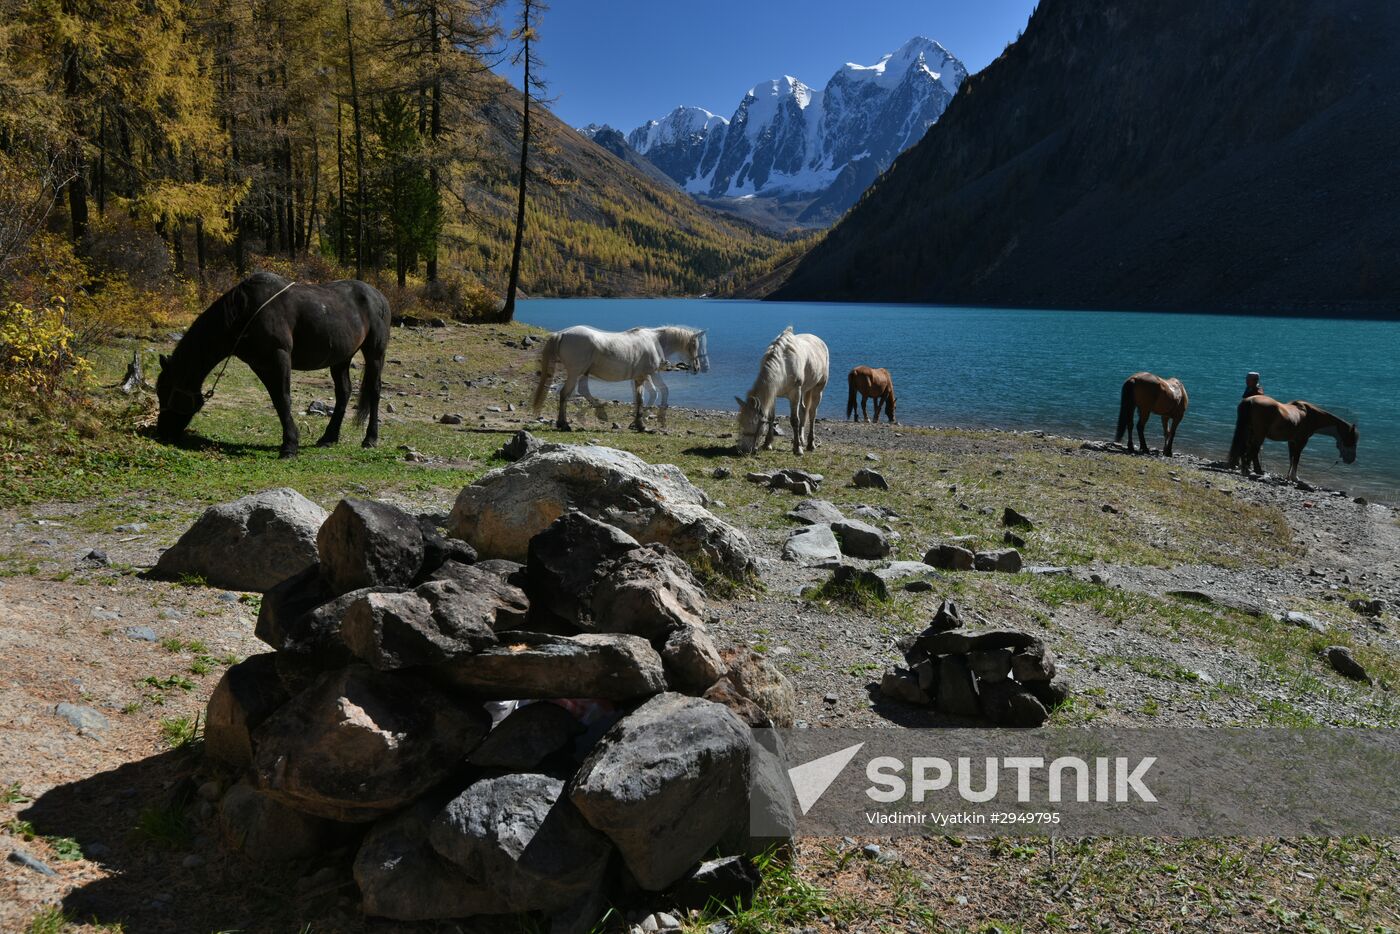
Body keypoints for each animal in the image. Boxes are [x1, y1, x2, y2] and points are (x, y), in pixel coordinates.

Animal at [156, 271, 392, 459]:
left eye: (166, 393)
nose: (161, 433)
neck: (245, 312)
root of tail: (380, 296)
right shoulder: (261, 365)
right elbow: (277, 401)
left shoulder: (279, 357)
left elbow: (283, 399)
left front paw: (289, 446)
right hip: (341, 358)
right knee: (344, 392)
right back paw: (329, 437)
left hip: (375, 354)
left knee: (374, 390)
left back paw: (370, 439)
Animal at [526, 324, 711, 431]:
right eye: (694, 345)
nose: (697, 367)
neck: (654, 341)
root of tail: (562, 334)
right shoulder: (650, 374)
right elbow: (655, 394)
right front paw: (643, 423)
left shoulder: (639, 377)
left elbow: (640, 399)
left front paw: (639, 424)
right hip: (575, 372)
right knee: (565, 394)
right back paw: (564, 424)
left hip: (582, 373)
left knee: (580, 391)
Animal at [1226, 394, 1355, 481]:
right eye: (1353, 439)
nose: (1351, 460)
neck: (1311, 415)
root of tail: (1250, 400)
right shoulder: (1301, 441)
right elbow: (1296, 458)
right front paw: (1294, 477)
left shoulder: (1291, 441)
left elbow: (1291, 458)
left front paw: (1288, 477)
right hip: (1258, 435)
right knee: (1253, 451)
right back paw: (1249, 471)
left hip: (1249, 432)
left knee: (1246, 450)